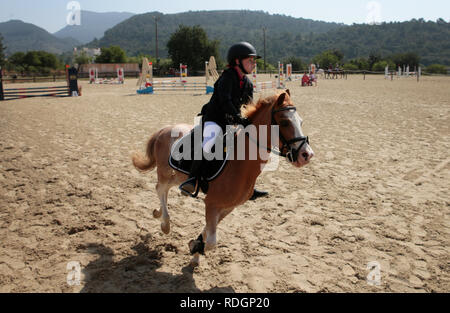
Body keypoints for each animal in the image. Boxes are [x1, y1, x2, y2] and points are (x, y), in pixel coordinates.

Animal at [131, 89, 312, 266]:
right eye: (284, 122)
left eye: (301, 122)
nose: (307, 155)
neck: (241, 164)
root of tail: (165, 129)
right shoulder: (211, 203)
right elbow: (212, 241)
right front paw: (196, 247)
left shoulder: (228, 207)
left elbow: (207, 231)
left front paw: (195, 250)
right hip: (165, 170)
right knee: (160, 188)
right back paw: (165, 224)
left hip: (180, 176)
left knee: (166, 188)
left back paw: (158, 213)